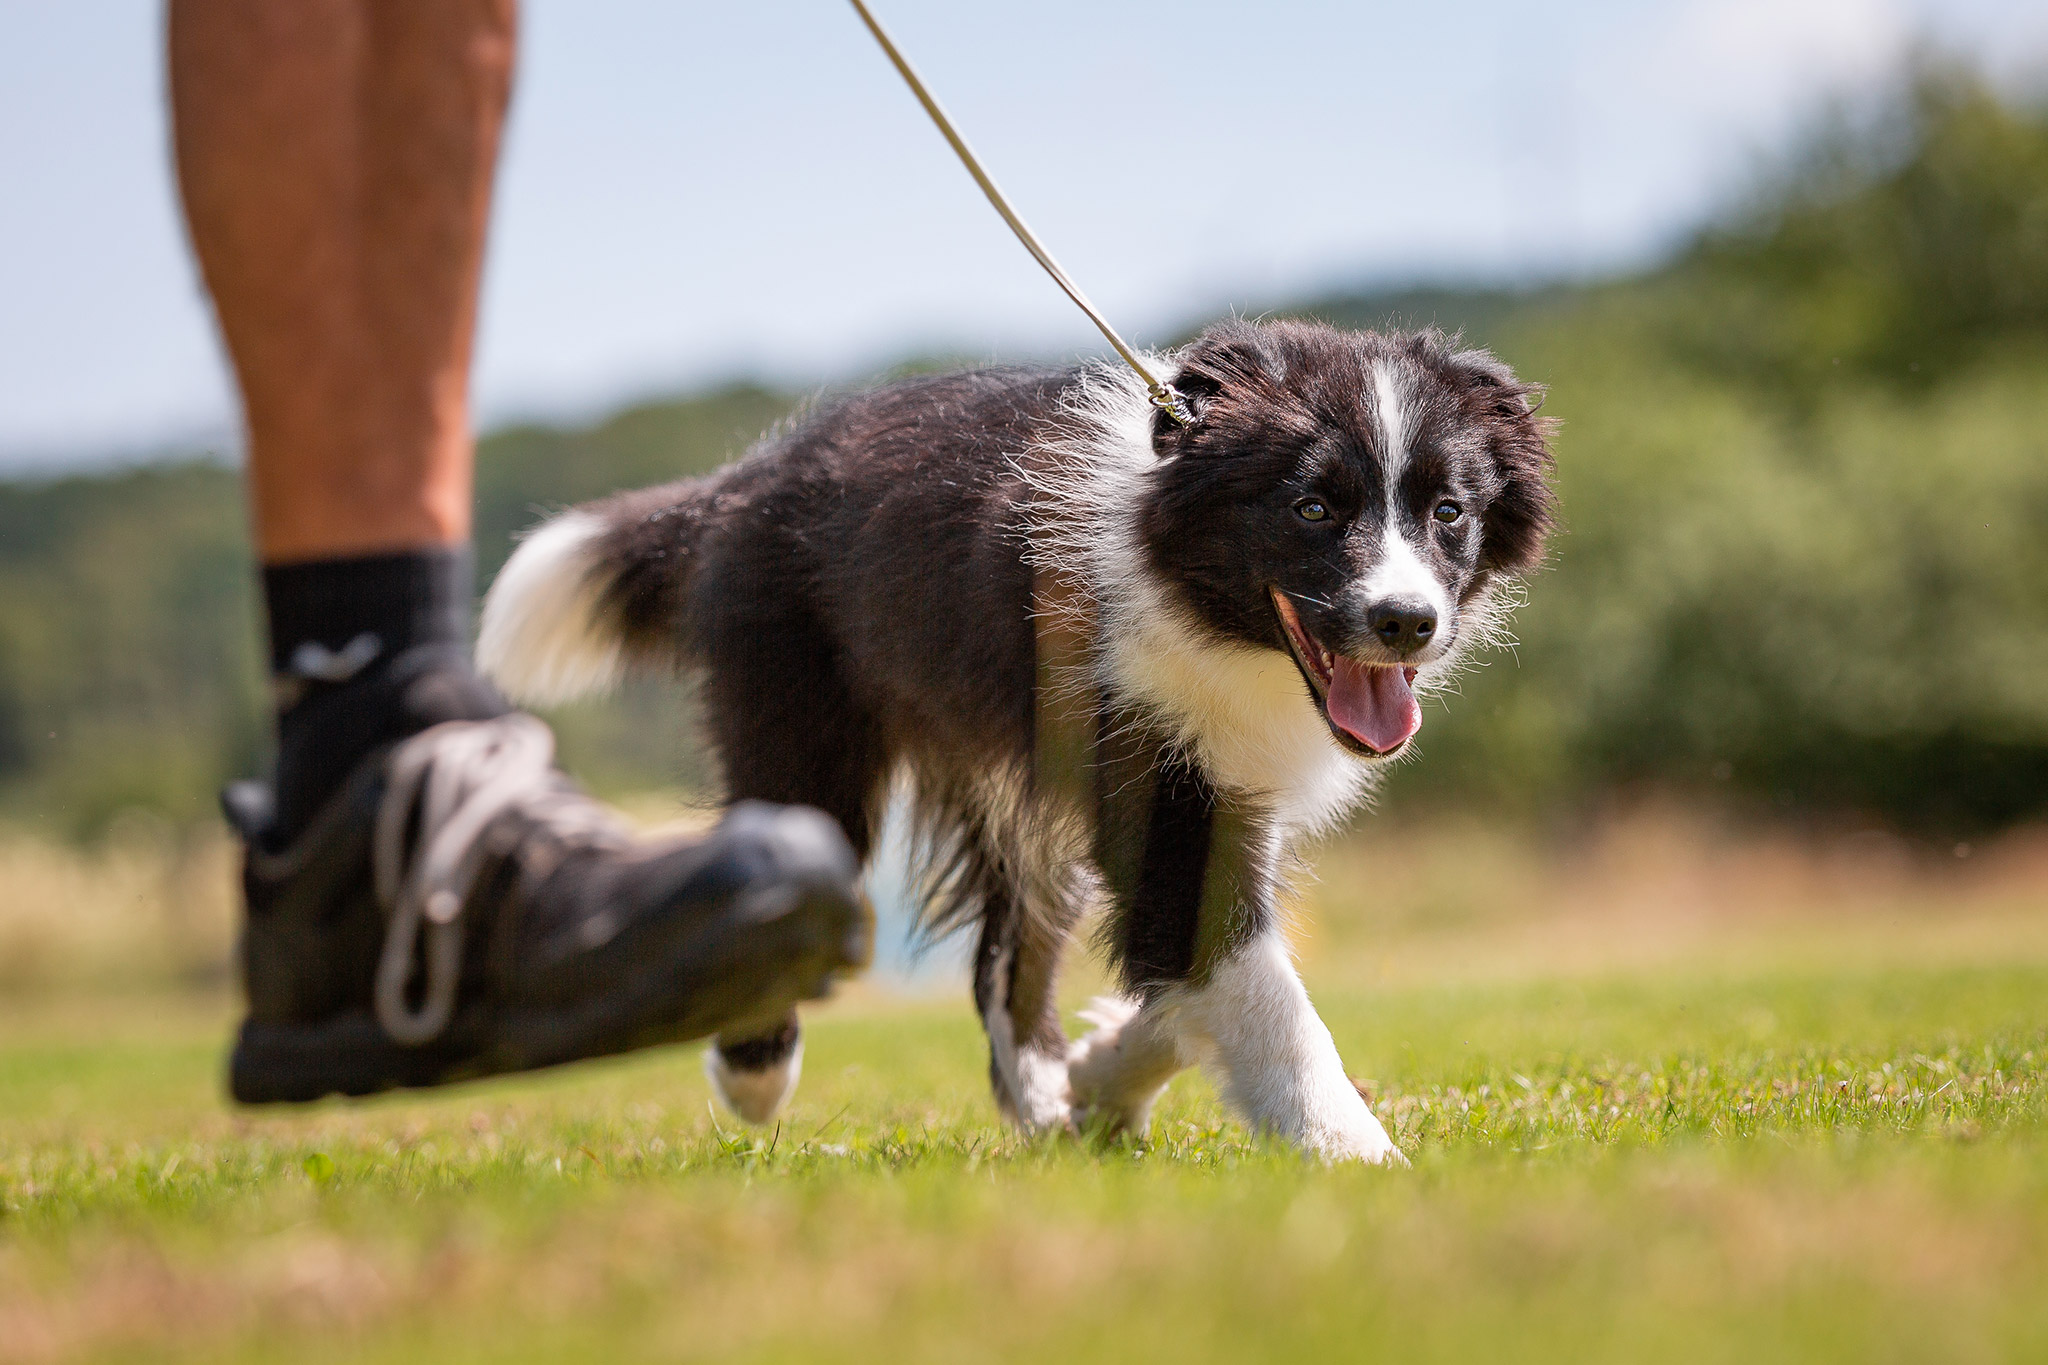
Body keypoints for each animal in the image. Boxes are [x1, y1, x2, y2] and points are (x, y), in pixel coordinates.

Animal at [475, 317, 1548, 1162]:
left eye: (1448, 512)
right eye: (1312, 507)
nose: (1407, 622)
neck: (1201, 606)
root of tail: (742, 485)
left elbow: (1191, 967)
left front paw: (1102, 1072)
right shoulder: (1160, 773)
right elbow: (1253, 987)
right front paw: (1359, 1157)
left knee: (1007, 949)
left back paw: (1041, 1099)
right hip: (801, 713)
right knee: (788, 841)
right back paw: (756, 1072)